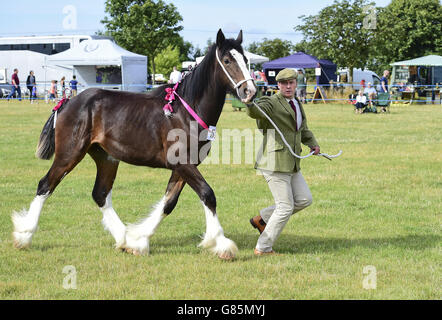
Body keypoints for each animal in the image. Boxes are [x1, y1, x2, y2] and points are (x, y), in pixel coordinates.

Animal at [11, 30, 256, 260]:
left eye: (245, 59)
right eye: (227, 60)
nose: (250, 91)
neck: (185, 111)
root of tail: (68, 101)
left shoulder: (184, 166)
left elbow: (169, 202)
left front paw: (138, 241)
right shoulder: (183, 164)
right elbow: (207, 194)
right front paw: (222, 244)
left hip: (106, 158)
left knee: (100, 193)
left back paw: (124, 238)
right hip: (69, 154)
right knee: (45, 185)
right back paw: (24, 235)